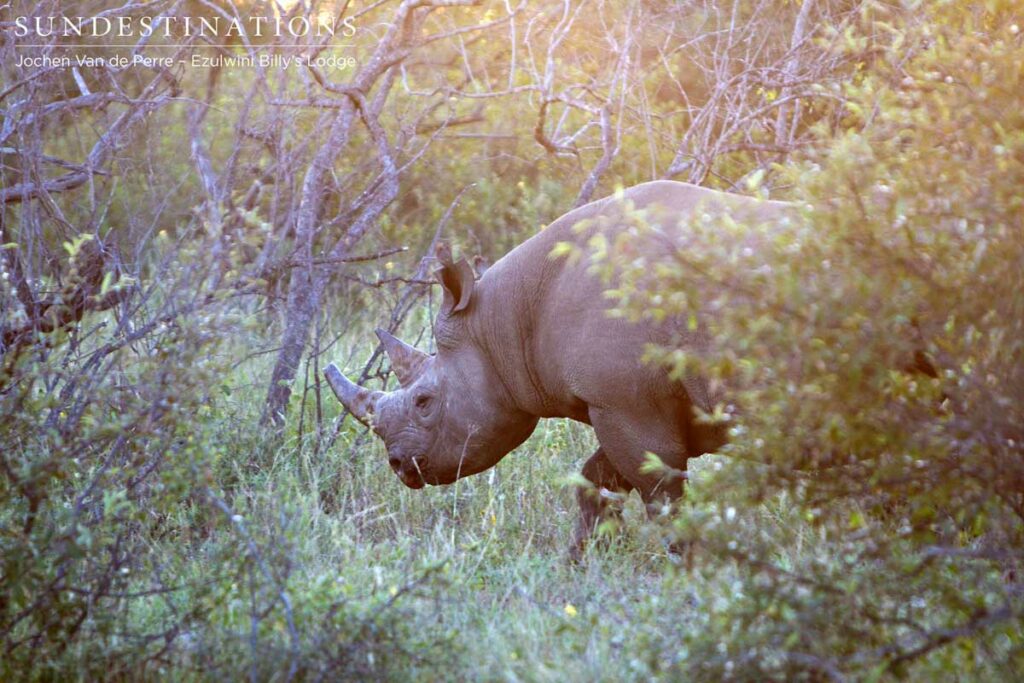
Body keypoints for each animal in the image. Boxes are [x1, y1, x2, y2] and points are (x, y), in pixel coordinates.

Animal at [325, 180, 794, 558]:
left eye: (424, 401)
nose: (399, 466)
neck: (505, 322)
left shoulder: (627, 403)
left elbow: (662, 495)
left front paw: (685, 569)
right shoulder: (624, 403)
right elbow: (596, 482)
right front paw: (584, 561)